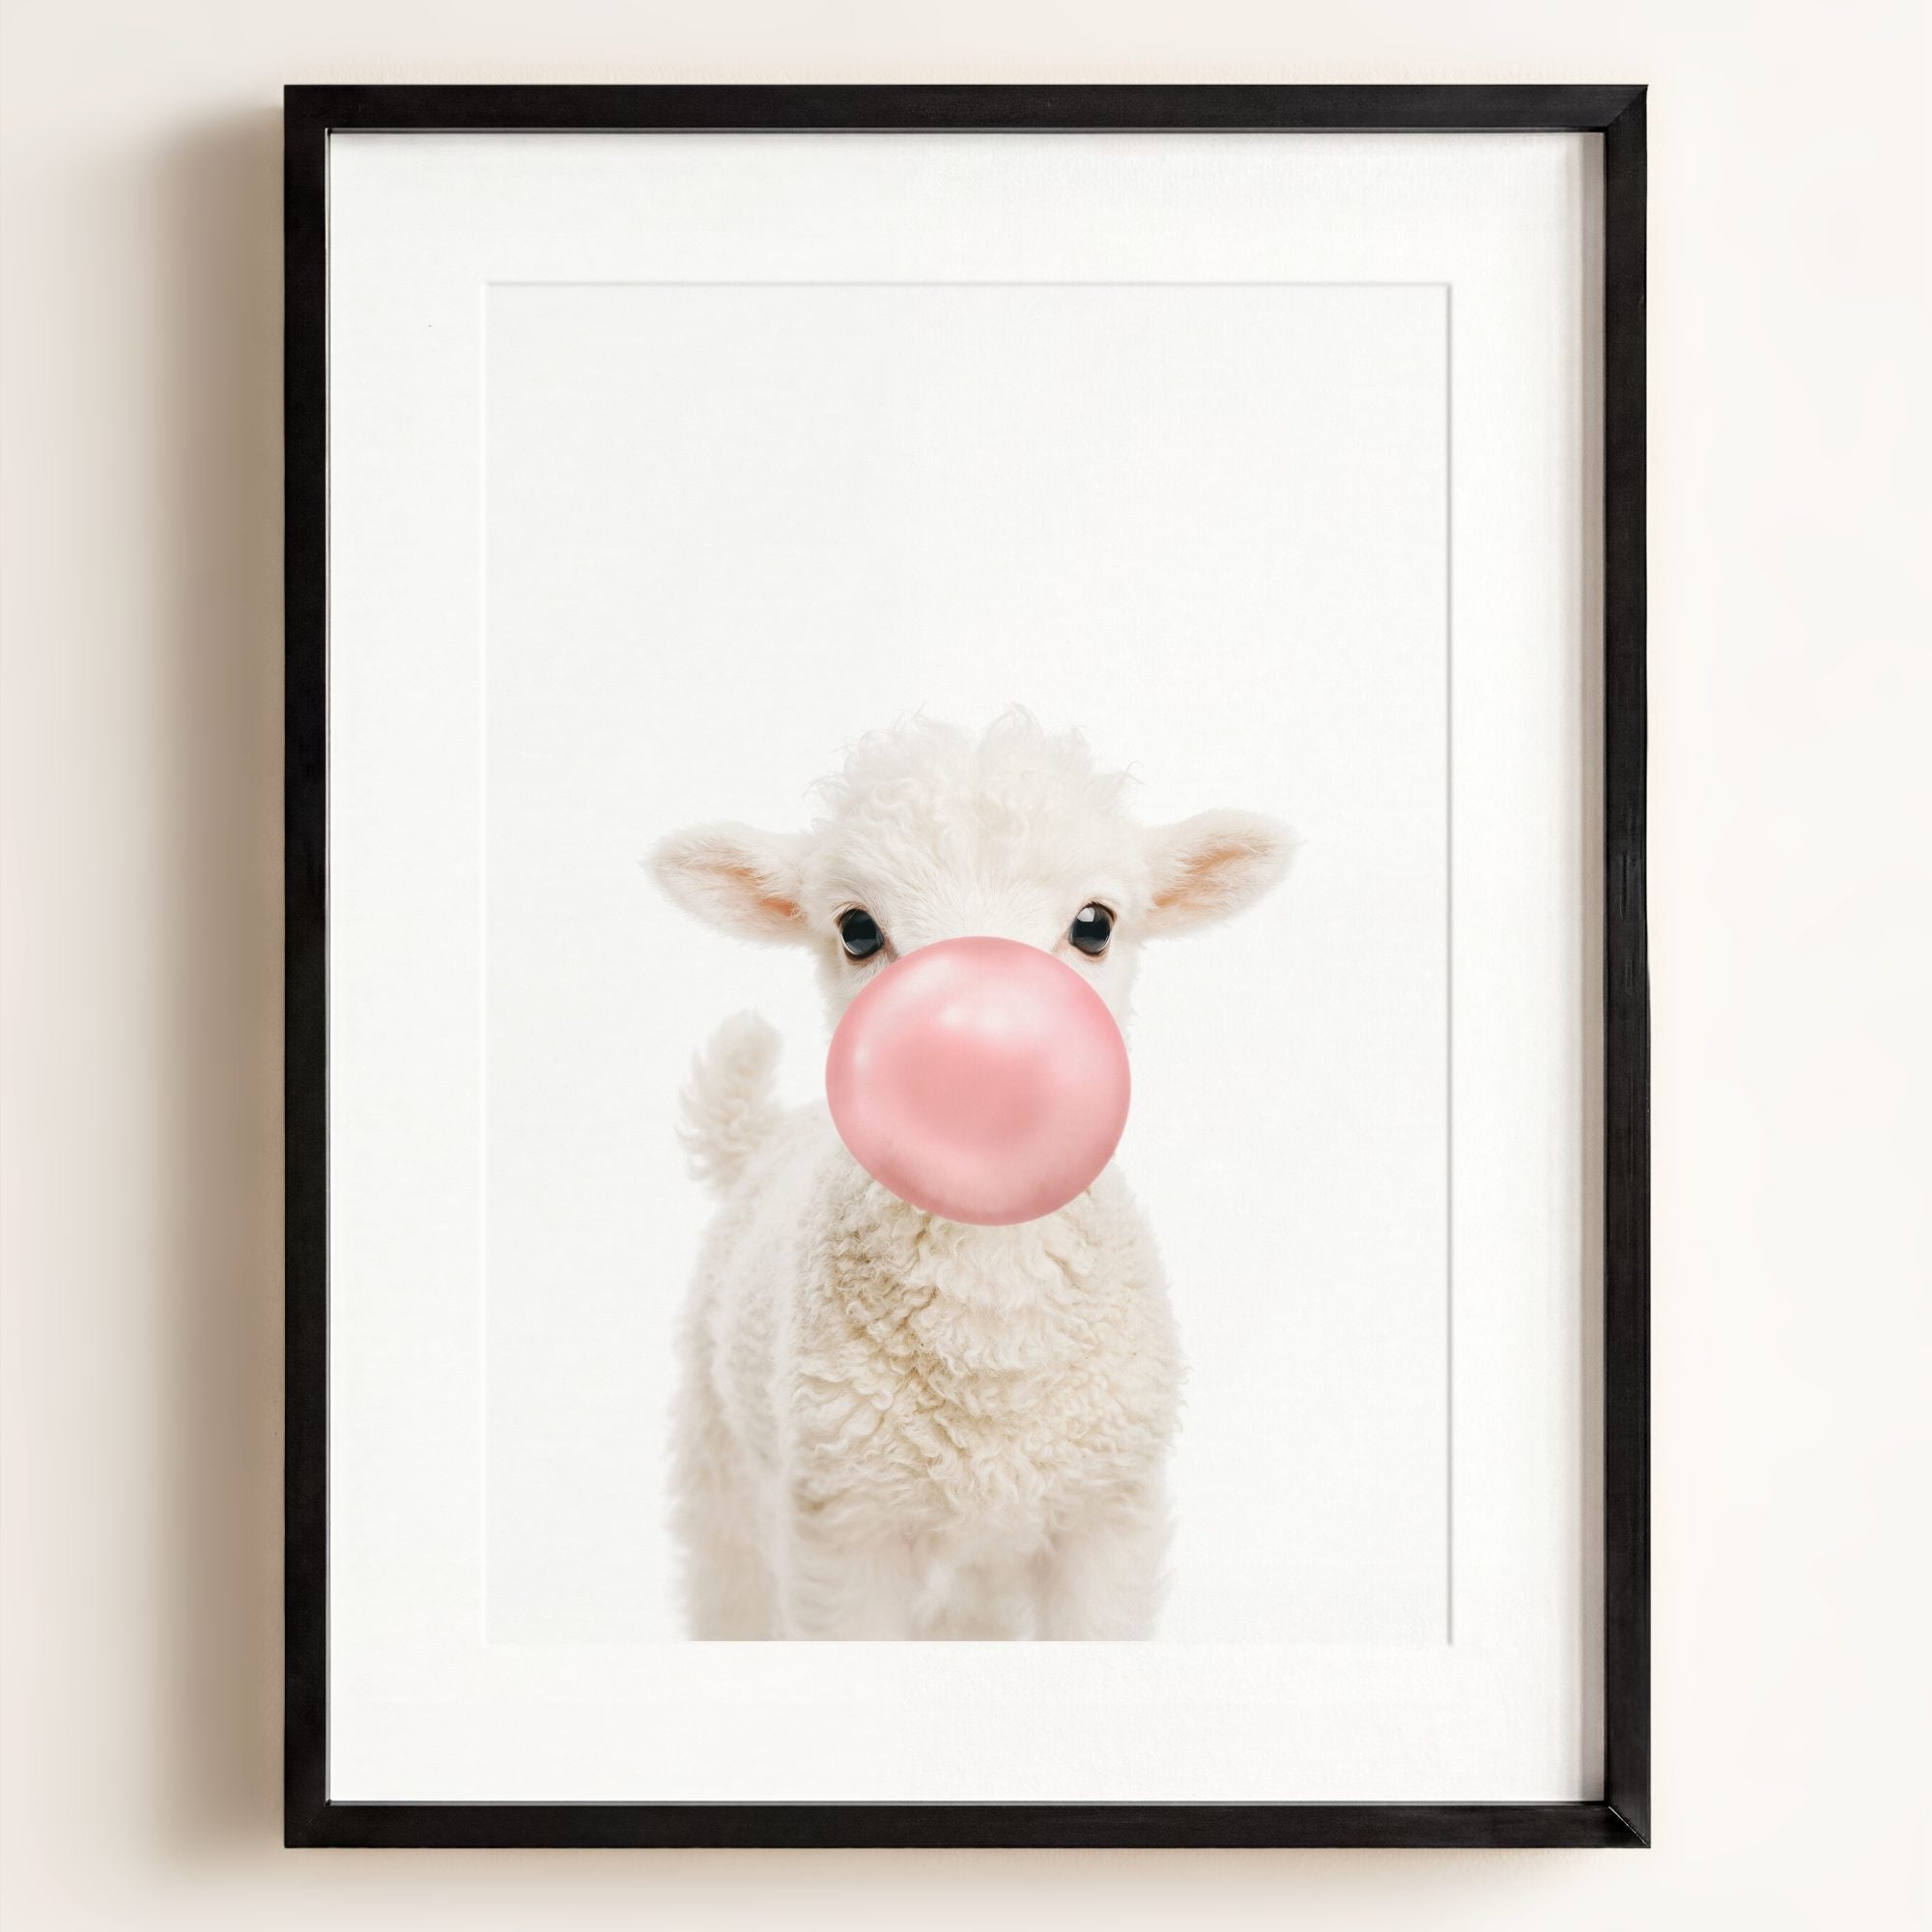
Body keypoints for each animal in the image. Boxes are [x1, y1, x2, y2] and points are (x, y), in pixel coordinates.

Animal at [650, 711, 1294, 1639]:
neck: (993, 1346)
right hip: (723, 1464)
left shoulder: (1107, 1517)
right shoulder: (844, 1528)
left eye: (1095, 924)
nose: (979, 1055)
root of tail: (766, 1135)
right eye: (856, 930)